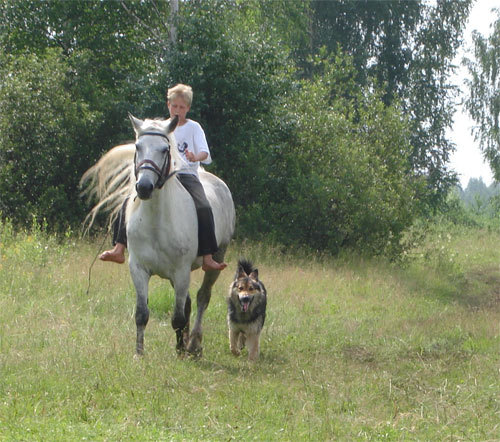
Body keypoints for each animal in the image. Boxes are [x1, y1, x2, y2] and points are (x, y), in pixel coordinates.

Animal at [82, 115, 236, 356]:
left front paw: (180, 351)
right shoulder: (139, 269)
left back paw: (193, 343)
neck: (156, 224)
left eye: (165, 149)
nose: (144, 187)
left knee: (202, 298)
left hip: (216, 259)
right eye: (138, 146)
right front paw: (139, 353)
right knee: (189, 302)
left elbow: (178, 316)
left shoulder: (181, 272)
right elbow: (142, 313)